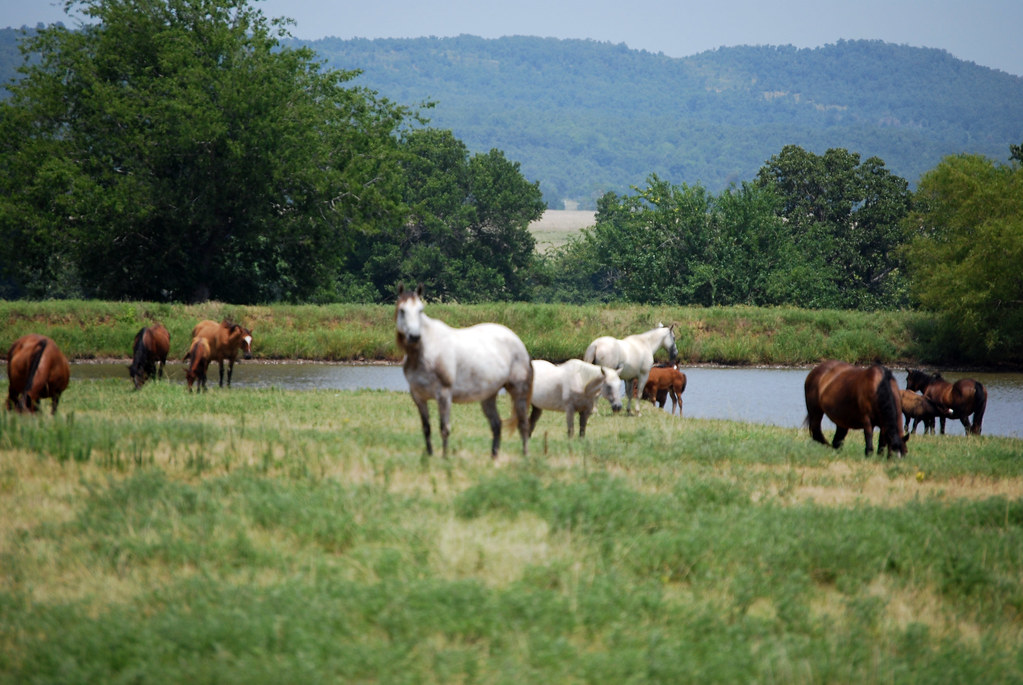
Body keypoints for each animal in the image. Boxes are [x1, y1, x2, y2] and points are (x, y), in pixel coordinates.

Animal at [395, 283, 533, 459]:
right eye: (402, 310)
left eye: (420, 310)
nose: (414, 336)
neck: (425, 352)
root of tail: (518, 341)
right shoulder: (418, 397)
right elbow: (426, 428)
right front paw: (430, 456)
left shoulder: (444, 395)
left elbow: (444, 428)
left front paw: (445, 458)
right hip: (488, 396)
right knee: (496, 425)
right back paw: (493, 458)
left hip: (518, 391)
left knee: (523, 425)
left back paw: (525, 456)